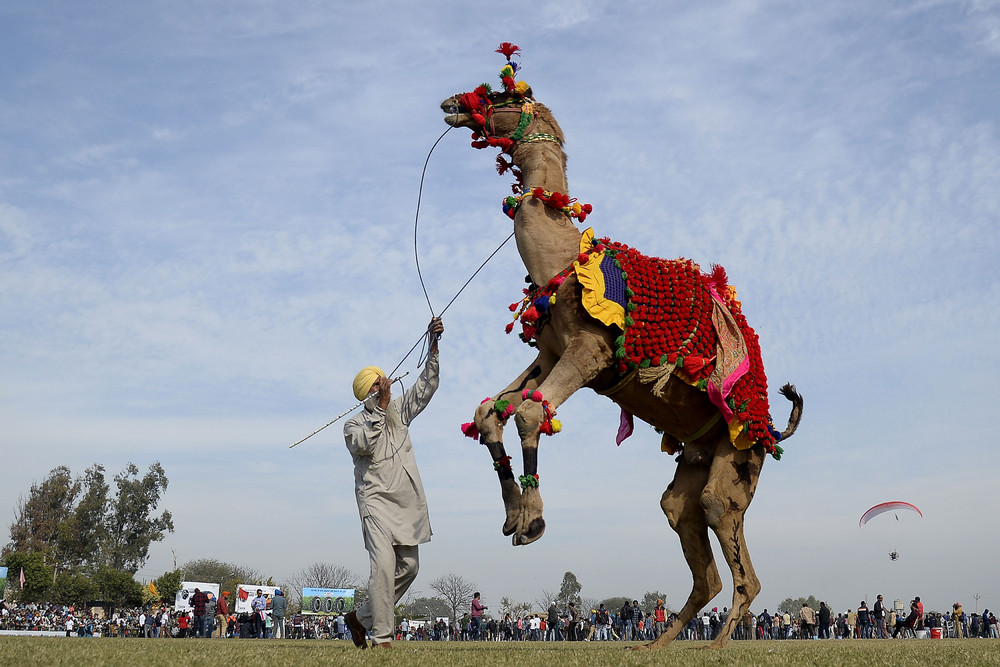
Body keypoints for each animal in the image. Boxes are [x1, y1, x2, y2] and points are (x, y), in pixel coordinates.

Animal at [442, 44, 800, 648]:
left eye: (502, 92)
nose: (450, 104)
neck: (566, 262)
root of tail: (772, 430)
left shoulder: (590, 354)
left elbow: (531, 413)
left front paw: (533, 521)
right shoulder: (547, 354)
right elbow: (490, 410)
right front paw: (513, 516)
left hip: (737, 464)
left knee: (736, 555)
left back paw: (719, 643)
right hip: (696, 465)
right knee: (686, 527)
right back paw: (656, 643)